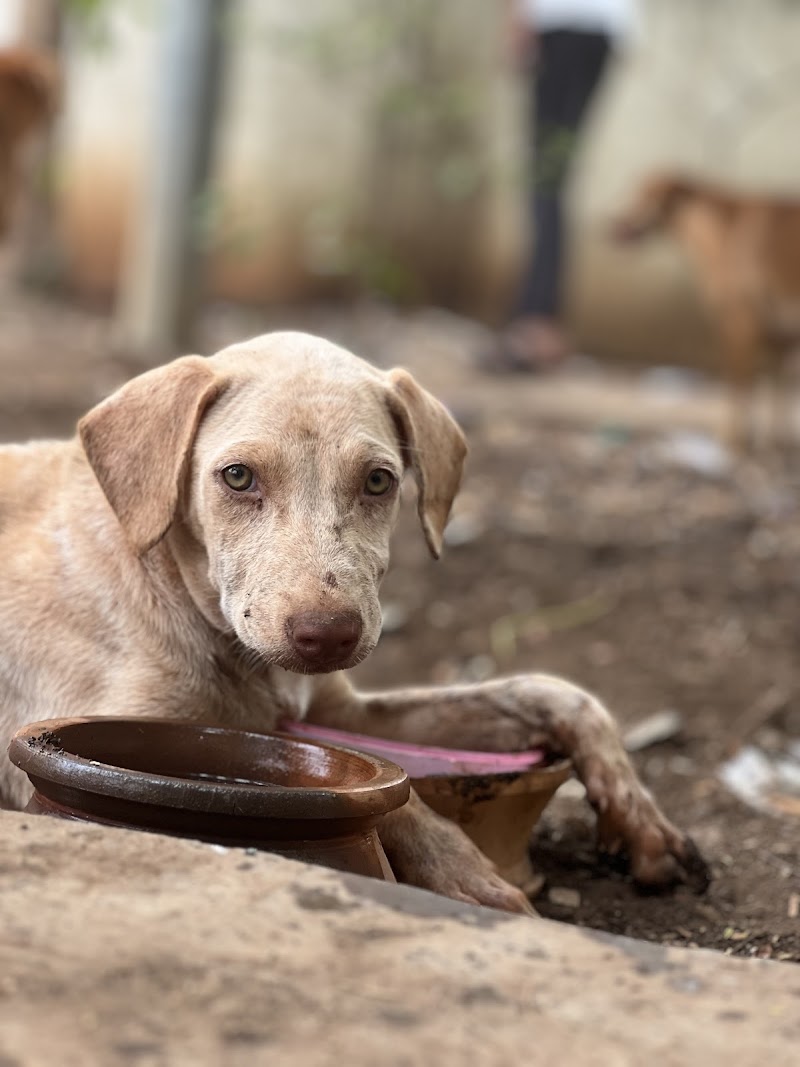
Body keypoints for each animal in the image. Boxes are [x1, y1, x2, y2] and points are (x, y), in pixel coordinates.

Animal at [0, 332, 708, 911]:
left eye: (377, 481)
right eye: (237, 477)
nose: (327, 636)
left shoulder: (335, 710)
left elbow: (546, 693)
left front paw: (639, 818)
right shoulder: (73, 731)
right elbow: (391, 798)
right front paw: (469, 877)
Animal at [613, 172, 800, 448]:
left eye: (642, 196)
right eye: (635, 193)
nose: (611, 225)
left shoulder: (741, 324)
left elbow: (739, 386)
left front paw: (736, 441)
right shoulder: (779, 339)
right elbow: (776, 394)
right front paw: (772, 445)